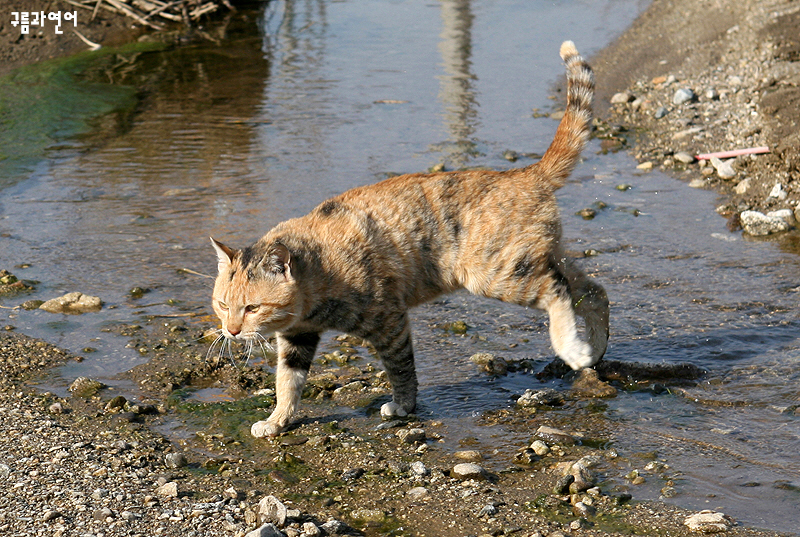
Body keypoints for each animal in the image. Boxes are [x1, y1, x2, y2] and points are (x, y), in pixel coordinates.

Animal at [209, 40, 608, 436]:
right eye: (223, 304)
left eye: (252, 307)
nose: (231, 332)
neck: (317, 271)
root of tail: (527, 173)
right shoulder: (298, 336)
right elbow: (287, 381)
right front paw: (278, 420)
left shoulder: (389, 319)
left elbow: (400, 367)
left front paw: (403, 405)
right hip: (538, 257)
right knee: (593, 290)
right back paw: (595, 348)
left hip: (498, 274)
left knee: (557, 291)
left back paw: (572, 349)